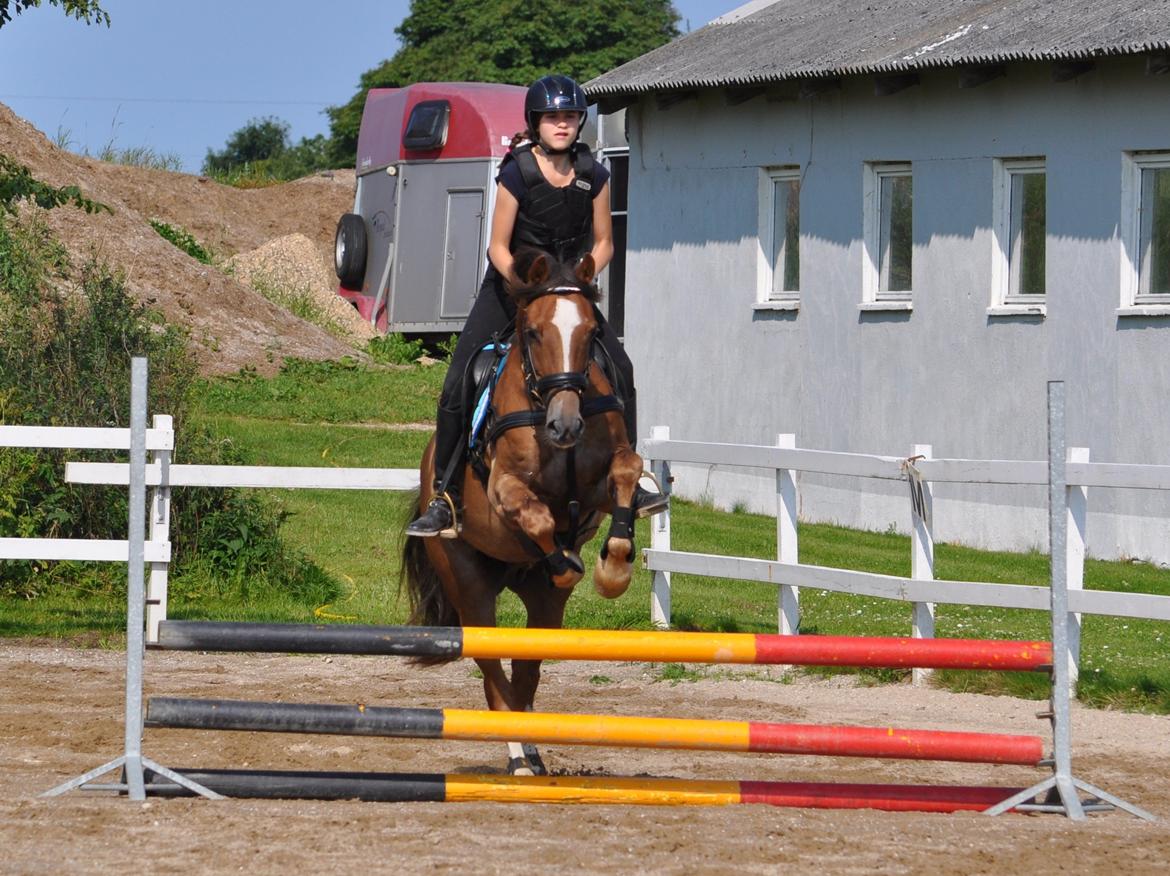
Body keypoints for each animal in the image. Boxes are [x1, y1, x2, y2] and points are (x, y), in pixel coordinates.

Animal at [400, 251, 641, 771]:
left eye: (591, 332)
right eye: (532, 332)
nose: (565, 425)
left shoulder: (606, 477)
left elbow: (628, 474)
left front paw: (613, 569)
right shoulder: (503, 490)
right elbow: (536, 515)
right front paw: (568, 562)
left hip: (543, 607)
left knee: (525, 673)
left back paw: (532, 749)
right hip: (470, 589)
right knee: (495, 678)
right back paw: (517, 758)